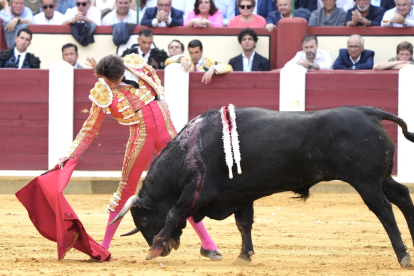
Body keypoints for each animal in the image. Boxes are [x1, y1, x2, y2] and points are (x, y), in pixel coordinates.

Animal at [111, 105, 414, 268]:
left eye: (145, 221)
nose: (168, 248)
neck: (192, 148)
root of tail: (368, 112)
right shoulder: (240, 194)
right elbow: (244, 223)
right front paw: (244, 256)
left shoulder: (197, 190)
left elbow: (175, 213)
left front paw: (153, 250)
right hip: (381, 179)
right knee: (402, 196)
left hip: (366, 182)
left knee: (385, 211)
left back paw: (403, 256)